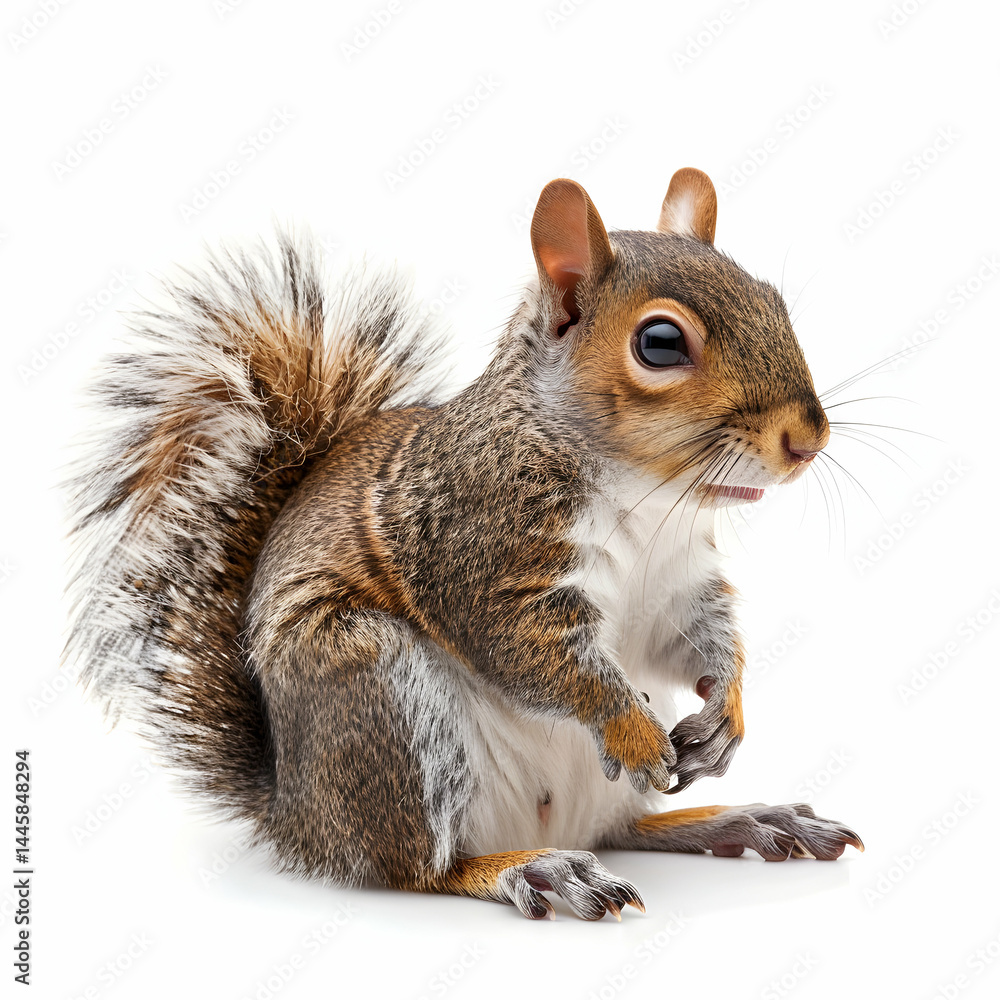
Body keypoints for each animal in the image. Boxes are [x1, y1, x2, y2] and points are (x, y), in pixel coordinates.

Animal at [66, 167, 863, 921]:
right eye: (660, 344)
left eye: (772, 301)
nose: (807, 439)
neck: (647, 500)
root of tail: (300, 816)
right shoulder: (480, 547)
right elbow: (538, 656)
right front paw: (631, 729)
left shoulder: (676, 583)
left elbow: (695, 638)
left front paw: (726, 713)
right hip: (381, 695)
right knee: (422, 868)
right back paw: (535, 868)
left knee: (622, 829)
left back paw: (742, 820)